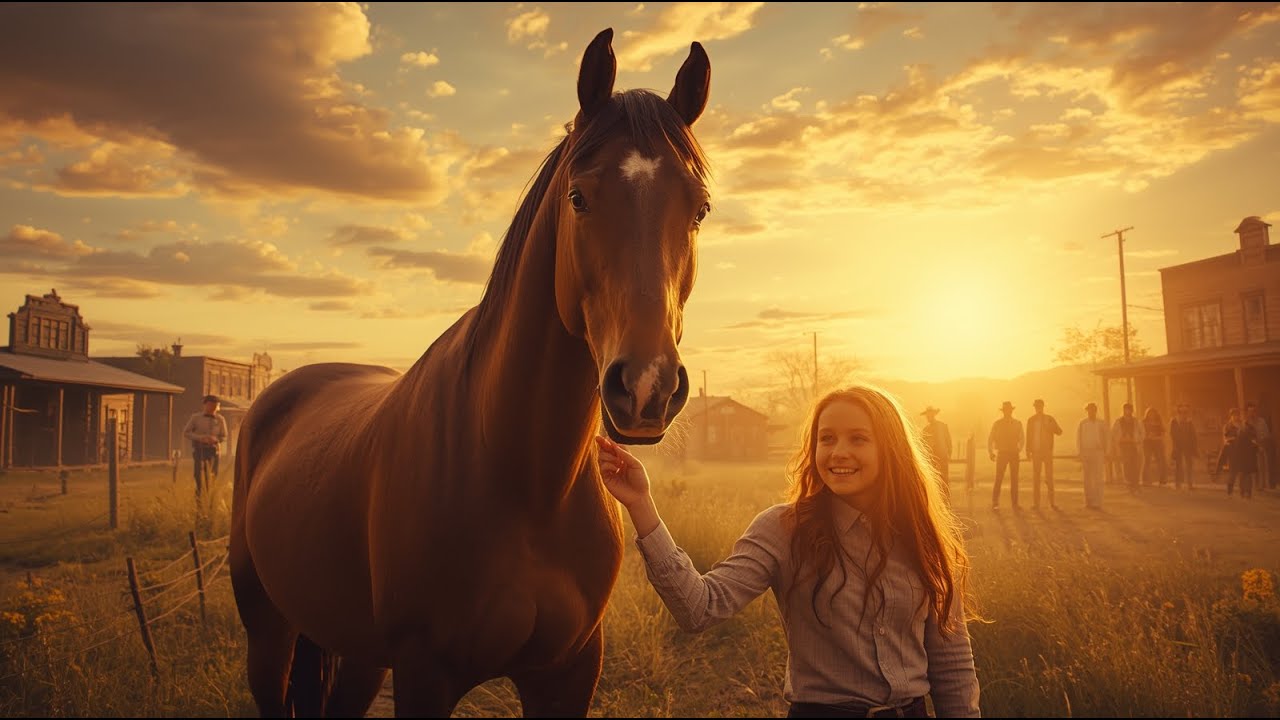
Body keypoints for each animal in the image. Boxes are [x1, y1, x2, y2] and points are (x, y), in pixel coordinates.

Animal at [230, 28, 712, 717]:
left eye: (698, 210)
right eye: (579, 197)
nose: (647, 386)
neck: (524, 483)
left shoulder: (569, 672)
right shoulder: (425, 673)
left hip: (357, 653)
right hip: (268, 631)